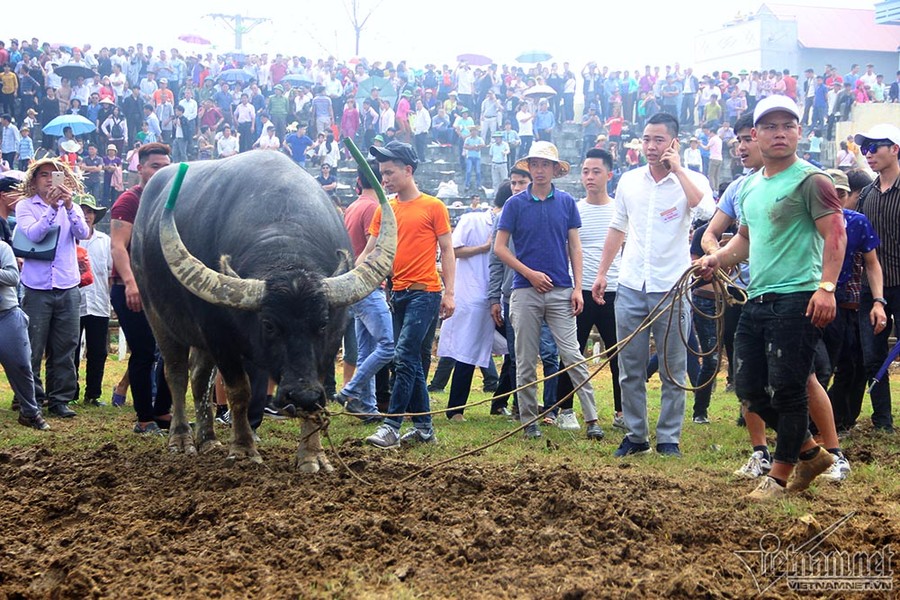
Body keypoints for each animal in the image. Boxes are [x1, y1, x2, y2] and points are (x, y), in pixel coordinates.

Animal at [129, 151, 394, 474]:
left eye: (321, 323)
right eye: (268, 325)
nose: (300, 395)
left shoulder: (330, 344)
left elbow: (319, 396)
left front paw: (313, 456)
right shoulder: (219, 338)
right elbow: (239, 391)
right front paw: (243, 449)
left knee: (199, 376)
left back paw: (208, 439)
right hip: (157, 315)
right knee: (176, 372)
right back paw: (181, 439)